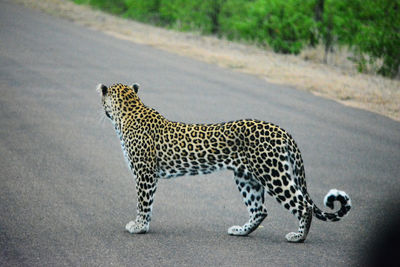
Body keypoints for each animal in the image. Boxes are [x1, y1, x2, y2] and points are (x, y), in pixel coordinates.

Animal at [97, 83, 350, 243]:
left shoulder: (145, 173)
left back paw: (298, 237)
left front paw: (139, 227)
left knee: (302, 205)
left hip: (273, 174)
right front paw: (143, 226)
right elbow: (147, 204)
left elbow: (143, 203)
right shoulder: (147, 174)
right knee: (260, 210)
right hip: (246, 177)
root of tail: (283, 131)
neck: (128, 111)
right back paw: (240, 231)